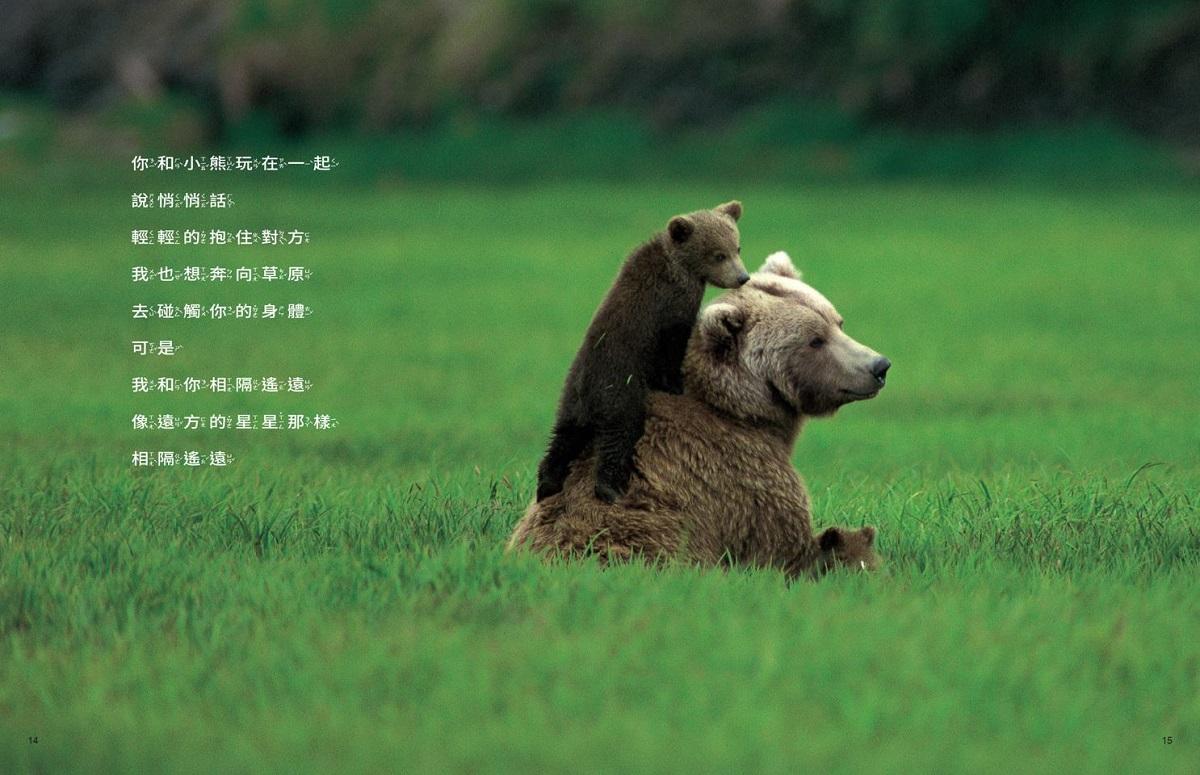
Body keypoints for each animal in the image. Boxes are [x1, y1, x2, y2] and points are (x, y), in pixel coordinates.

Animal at [511, 251, 891, 580]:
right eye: (814, 340)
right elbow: (785, 550)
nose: (878, 366)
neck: (742, 410)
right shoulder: (743, 477)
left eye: (837, 321)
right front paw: (849, 548)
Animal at [535, 201, 750, 505]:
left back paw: (547, 484)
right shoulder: (673, 304)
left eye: (737, 247)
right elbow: (673, 346)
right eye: (718, 254)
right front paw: (675, 385)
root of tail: (586, 393)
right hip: (620, 391)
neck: (682, 266)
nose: (742, 277)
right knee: (620, 434)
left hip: (570, 401)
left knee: (564, 437)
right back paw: (609, 488)